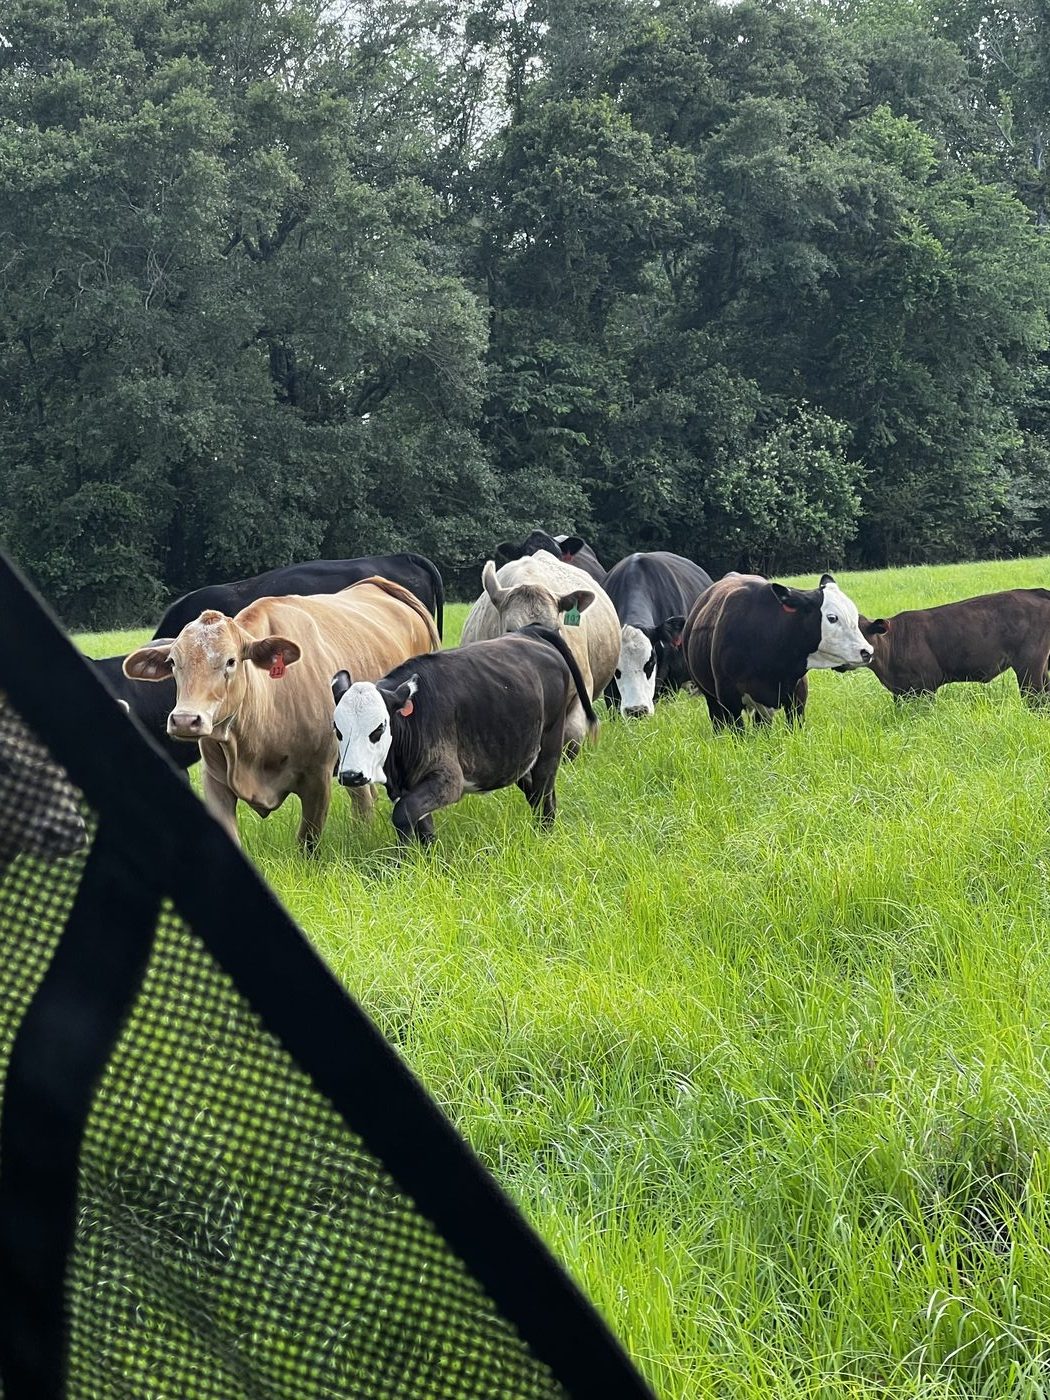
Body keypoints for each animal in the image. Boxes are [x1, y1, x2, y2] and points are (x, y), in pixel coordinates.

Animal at [123, 578, 440, 849]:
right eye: (172, 662)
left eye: (231, 661)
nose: (185, 720)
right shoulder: (214, 781)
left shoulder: (317, 778)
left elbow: (307, 841)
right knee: (363, 796)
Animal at [331, 625, 599, 845]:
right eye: (337, 729)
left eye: (378, 728)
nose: (351, 775)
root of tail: (528, 632)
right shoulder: (410, 786)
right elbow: (423, 826)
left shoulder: (449, 780)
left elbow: (403, 815)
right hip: (517, 757)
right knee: (538, 795)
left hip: (549, 747)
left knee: (544, 795)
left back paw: (544, 835)